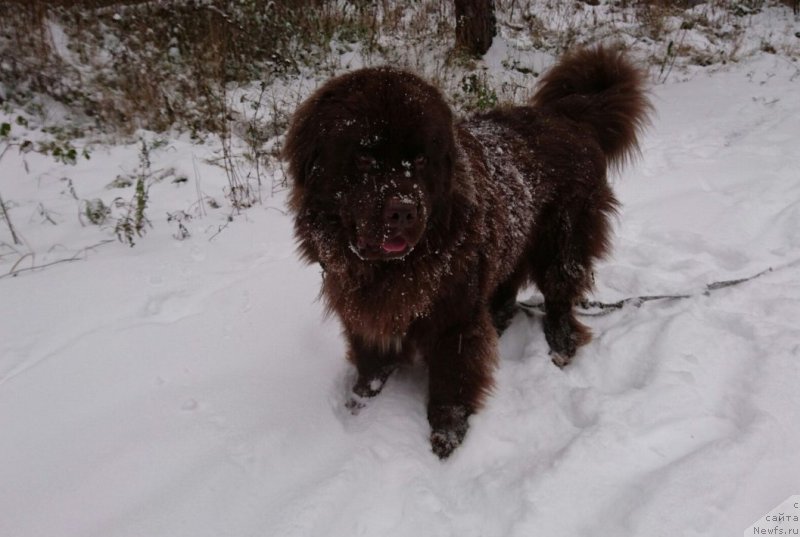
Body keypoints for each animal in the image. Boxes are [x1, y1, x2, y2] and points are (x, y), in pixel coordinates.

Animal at [282, 47, 648, 456]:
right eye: (363, 158)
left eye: (421, 160)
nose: (404, 210)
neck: (394, 269)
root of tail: (569, 116)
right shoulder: (360, 308)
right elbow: (371, 359)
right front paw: (362, 401)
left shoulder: (453, 316)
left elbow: (451, 376)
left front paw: (447, 433)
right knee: (506, 289)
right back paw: (499, 321)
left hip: (562, 239)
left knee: (559, 294)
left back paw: (560, 344)